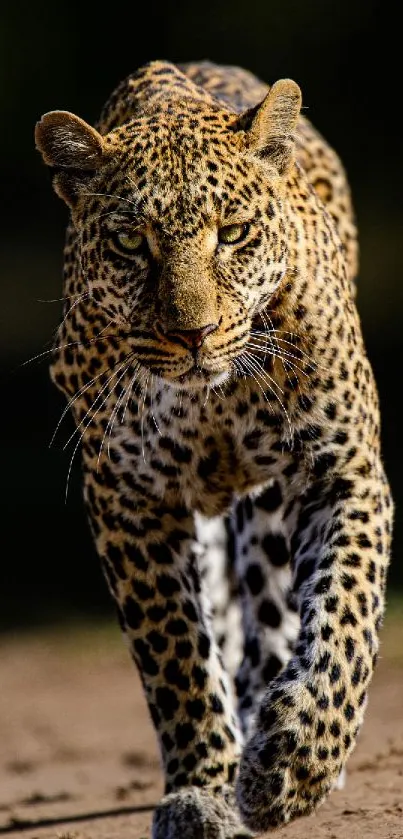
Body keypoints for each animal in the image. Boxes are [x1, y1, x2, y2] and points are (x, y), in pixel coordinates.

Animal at [35, 60, 394, 839]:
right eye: (130, 244)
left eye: (232, 234)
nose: (192, 334)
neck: (213, 398)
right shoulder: (129, 497)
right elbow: (176, 655)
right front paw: (202, 789)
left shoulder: (342, 469)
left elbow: (345, 617)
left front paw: (295, 762)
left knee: (275, 610)